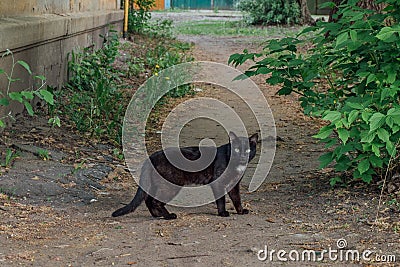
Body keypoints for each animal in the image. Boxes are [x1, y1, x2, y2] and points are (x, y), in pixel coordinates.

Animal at [111, 133, 260, 221]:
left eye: (248, 150)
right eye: (236, 149)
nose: (243, 156)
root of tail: (151, 157)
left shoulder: (234, 184)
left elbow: (237, 199)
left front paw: (241, 211)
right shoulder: (218, 182)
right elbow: (221, 200)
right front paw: (222, 213)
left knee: (149, 199)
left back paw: (157, 215)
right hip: (171, 185)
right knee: (156, 201)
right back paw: (168, 216)